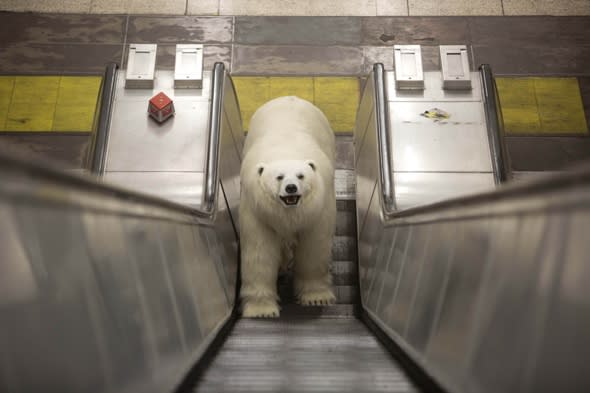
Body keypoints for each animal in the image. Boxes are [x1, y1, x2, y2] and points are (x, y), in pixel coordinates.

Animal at [240, 96, 338, 316]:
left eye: (301, 176)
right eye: (279, 177)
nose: (291, 188)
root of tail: (290, 97)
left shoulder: (318, 210)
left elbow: (314, 248)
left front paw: (316, 298)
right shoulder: (258, 211)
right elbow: (260, 253)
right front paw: (262, 309)